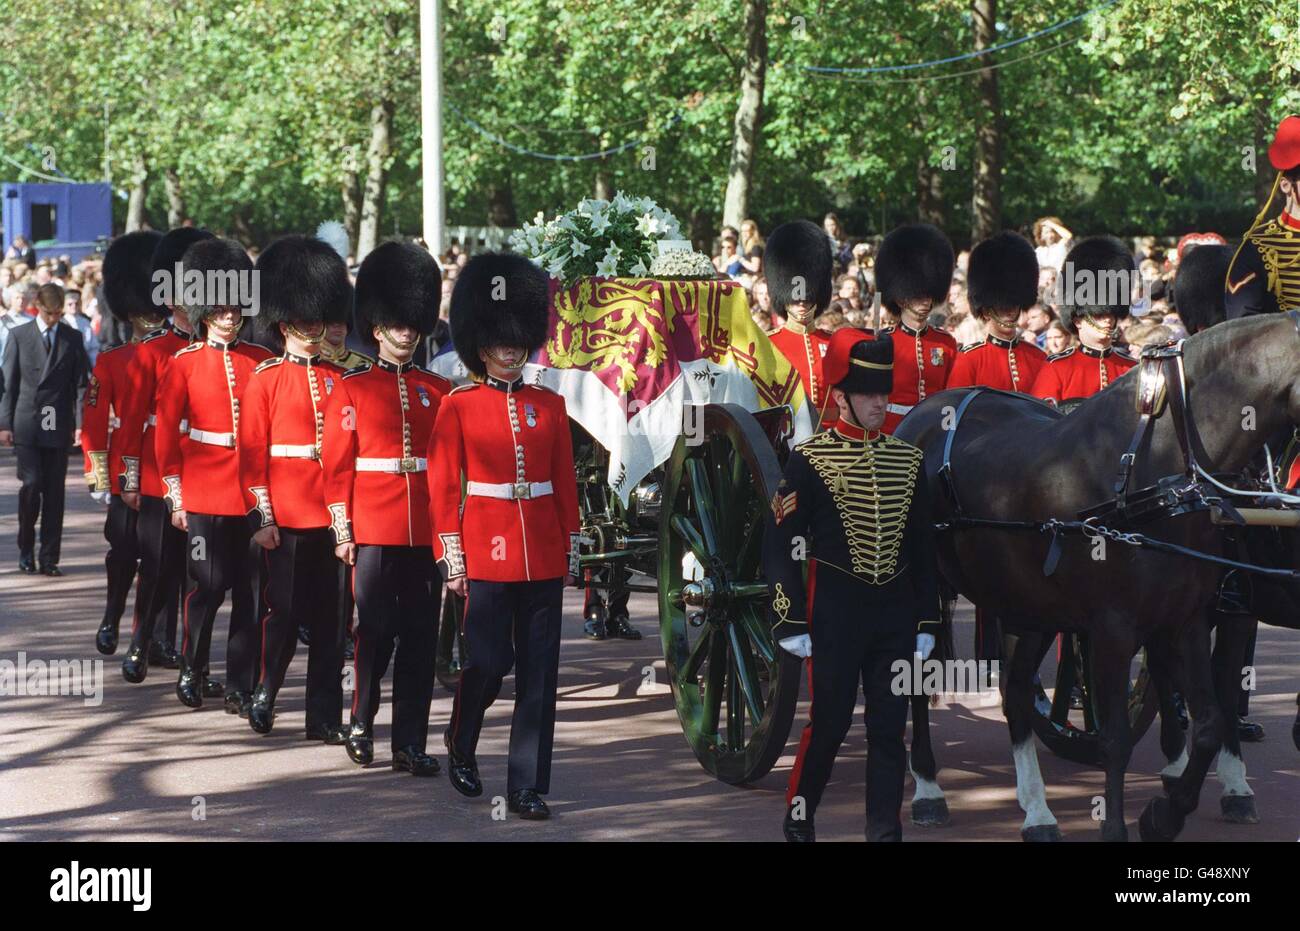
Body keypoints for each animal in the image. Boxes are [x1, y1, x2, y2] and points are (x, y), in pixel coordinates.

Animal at [894, 314, 1300, 842]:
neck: (1159, 475)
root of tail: (920, 414)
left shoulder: (1185, 620)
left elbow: (1210, 721)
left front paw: (1163, 815)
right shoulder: (1113, 629)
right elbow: (1115, 739)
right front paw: (1122, 825)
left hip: (1027, 607)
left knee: (1015, 694)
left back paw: (1038, 811)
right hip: (927, 593)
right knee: (918, 682)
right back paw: (928, 788)